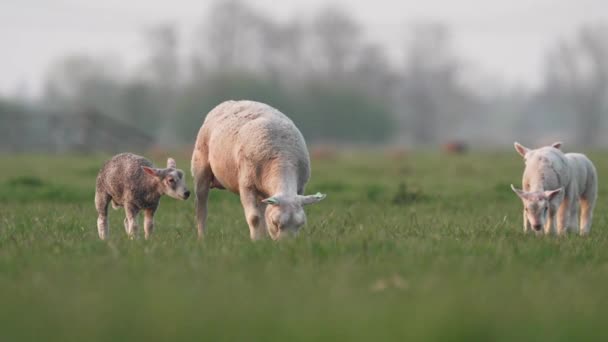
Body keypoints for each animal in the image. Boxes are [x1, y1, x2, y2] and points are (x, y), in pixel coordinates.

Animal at [191, 99, 326, 240]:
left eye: (300, 225)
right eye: (275, 223)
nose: (287, 244)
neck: (283, 158)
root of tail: (231, 101)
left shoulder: (299, 189)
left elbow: (263, 215)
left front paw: (263, 240)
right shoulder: (247, 185)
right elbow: (254, 218)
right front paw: (256, 241)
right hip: (200, 165)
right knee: (201, 205)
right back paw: (202, 237)